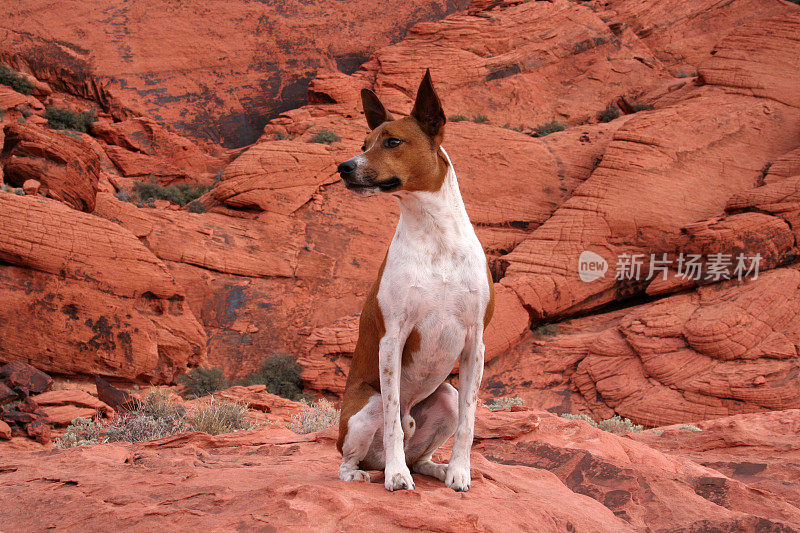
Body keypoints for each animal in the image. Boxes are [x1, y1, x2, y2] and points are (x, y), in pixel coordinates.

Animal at [332, 70, 494, 490]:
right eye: (364, 144)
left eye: (393, 141)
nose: (344, 166)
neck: (435, 236)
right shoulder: (393, 337)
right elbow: (392, 418)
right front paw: (396, 477)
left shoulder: (475, 342)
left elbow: (470, 422)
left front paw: (460, 472)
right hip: (364, 408)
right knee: (358, 452)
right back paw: (368, 472)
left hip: (446, 396)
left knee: (419, 455)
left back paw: (437, 468)